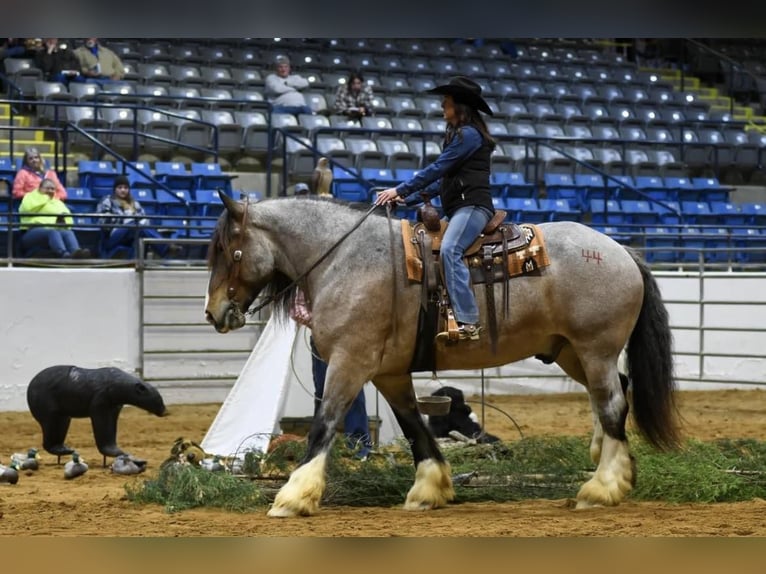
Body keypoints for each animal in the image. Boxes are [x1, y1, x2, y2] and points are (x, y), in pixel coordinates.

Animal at [206, 195, 684, 520]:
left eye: (229, 252)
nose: (213, 313)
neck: (345, 258)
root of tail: (621, 251)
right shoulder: (389, 372)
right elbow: (414, 426)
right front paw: (429, 489)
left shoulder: (349, 361)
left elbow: (324, 425)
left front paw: (293, 496)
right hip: (571, 353)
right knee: (614, 397)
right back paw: (611, 464)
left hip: (595, 348)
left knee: (612, 404)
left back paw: (602, 487)